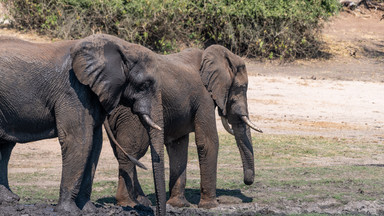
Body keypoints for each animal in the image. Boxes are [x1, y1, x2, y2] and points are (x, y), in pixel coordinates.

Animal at [0, 34, 166, 215]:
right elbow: (80, 141)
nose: (155, 210)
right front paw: (69, 211)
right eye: (145, 85)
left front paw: (89, 210)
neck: (122, 47)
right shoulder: (73, 91)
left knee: (5, 146)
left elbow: (95, 145)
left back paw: (9, 199)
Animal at [106, 45, 262, 209]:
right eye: (241, 88)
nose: (247, 182)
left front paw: (178, 205)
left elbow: (178, 146)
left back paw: (141, 201)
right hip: (131, 114)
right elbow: (208, 142)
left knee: (123, 152)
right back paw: (128, 202)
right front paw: (210, 206)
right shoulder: (204, 97)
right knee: (132, 151)